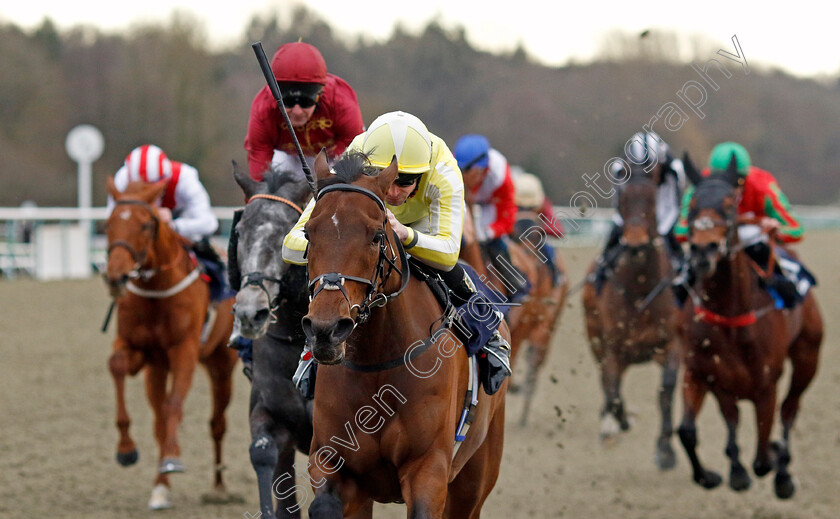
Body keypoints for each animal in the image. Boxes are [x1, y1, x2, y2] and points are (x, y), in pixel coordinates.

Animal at [103, 177, 240, 510]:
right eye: (108, 224)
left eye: (145, 225)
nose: (115, 276)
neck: (156, 289)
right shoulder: (140, 350)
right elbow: (116, 366)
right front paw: (126, 448)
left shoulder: (184, 350)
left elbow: (175, 403)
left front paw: (173, 459)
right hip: (157, 369)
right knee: (159, 421)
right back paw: (161, 486)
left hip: (220, 365)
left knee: (217, 423)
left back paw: (218, 486)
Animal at [306, 150, 508, 516]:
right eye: (308, 234)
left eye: (376, 235)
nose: (325, 329)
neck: (377, 364)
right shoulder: (332, 463)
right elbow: (324, 502)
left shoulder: (429, 467)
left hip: (476, 472)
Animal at [584, 168, 684, 472]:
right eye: (624, 201)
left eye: (651, 201)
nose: (636, 243)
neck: (641, 288)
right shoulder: (613, 349)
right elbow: (614, 394)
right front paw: (622, 421)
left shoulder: (671, 344)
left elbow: (666, 392)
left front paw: (665, 450)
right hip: (596, 342)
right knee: (607, 385)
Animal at [676, 155, 820, 500]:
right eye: (691, 205)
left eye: (730, 205)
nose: (704, 251)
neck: (730, 314)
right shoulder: (702, 373)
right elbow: (687, 431)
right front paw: (713, 476)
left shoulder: (766, 386)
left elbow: (763, 458)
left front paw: (776, 462)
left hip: (808, 356)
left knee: (790, 409)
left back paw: (784, 473)